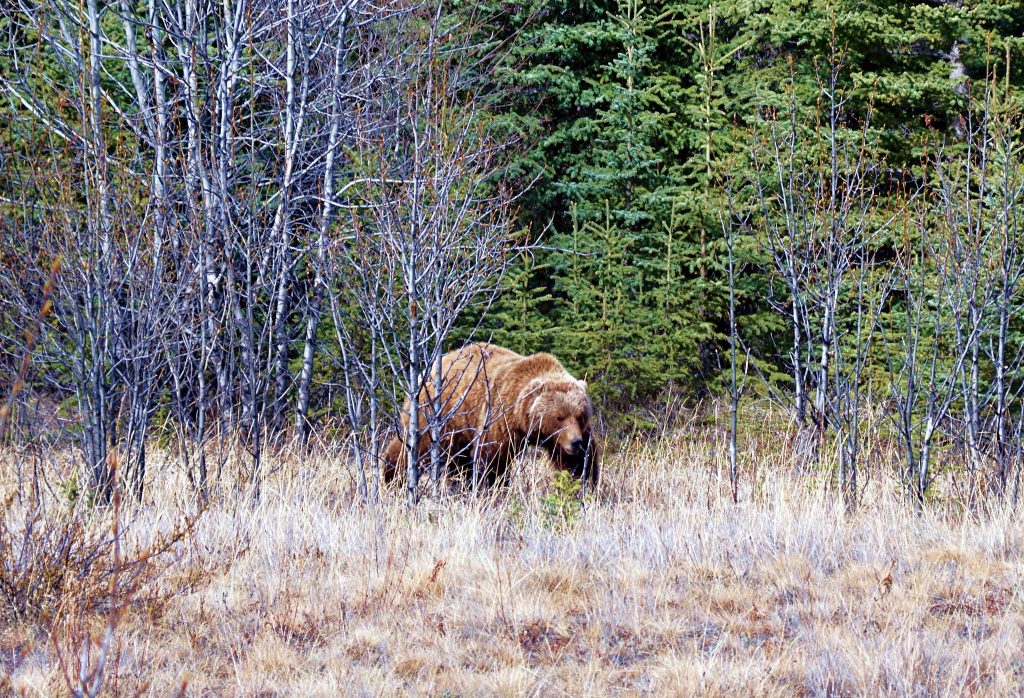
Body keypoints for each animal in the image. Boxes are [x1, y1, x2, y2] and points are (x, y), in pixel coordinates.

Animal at [380, 339, 598, 487]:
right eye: (559, 417)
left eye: (580, 415)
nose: (575, 442)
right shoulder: (500, 415)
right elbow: (492, 457)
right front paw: (492, 486)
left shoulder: (561, 438)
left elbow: (579, 462)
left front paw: (581, 486)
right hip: (437, 413)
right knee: (414, 444)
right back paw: (392, 476)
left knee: (458, 462)